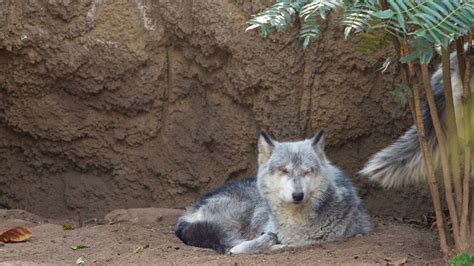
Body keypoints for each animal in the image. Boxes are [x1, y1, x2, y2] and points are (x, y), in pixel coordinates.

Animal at [174, 131, 370, 254]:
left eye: (307, 172)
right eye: (284, 170)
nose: (298, 195)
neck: (295, 223)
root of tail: (192, 208)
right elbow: (260, 243)